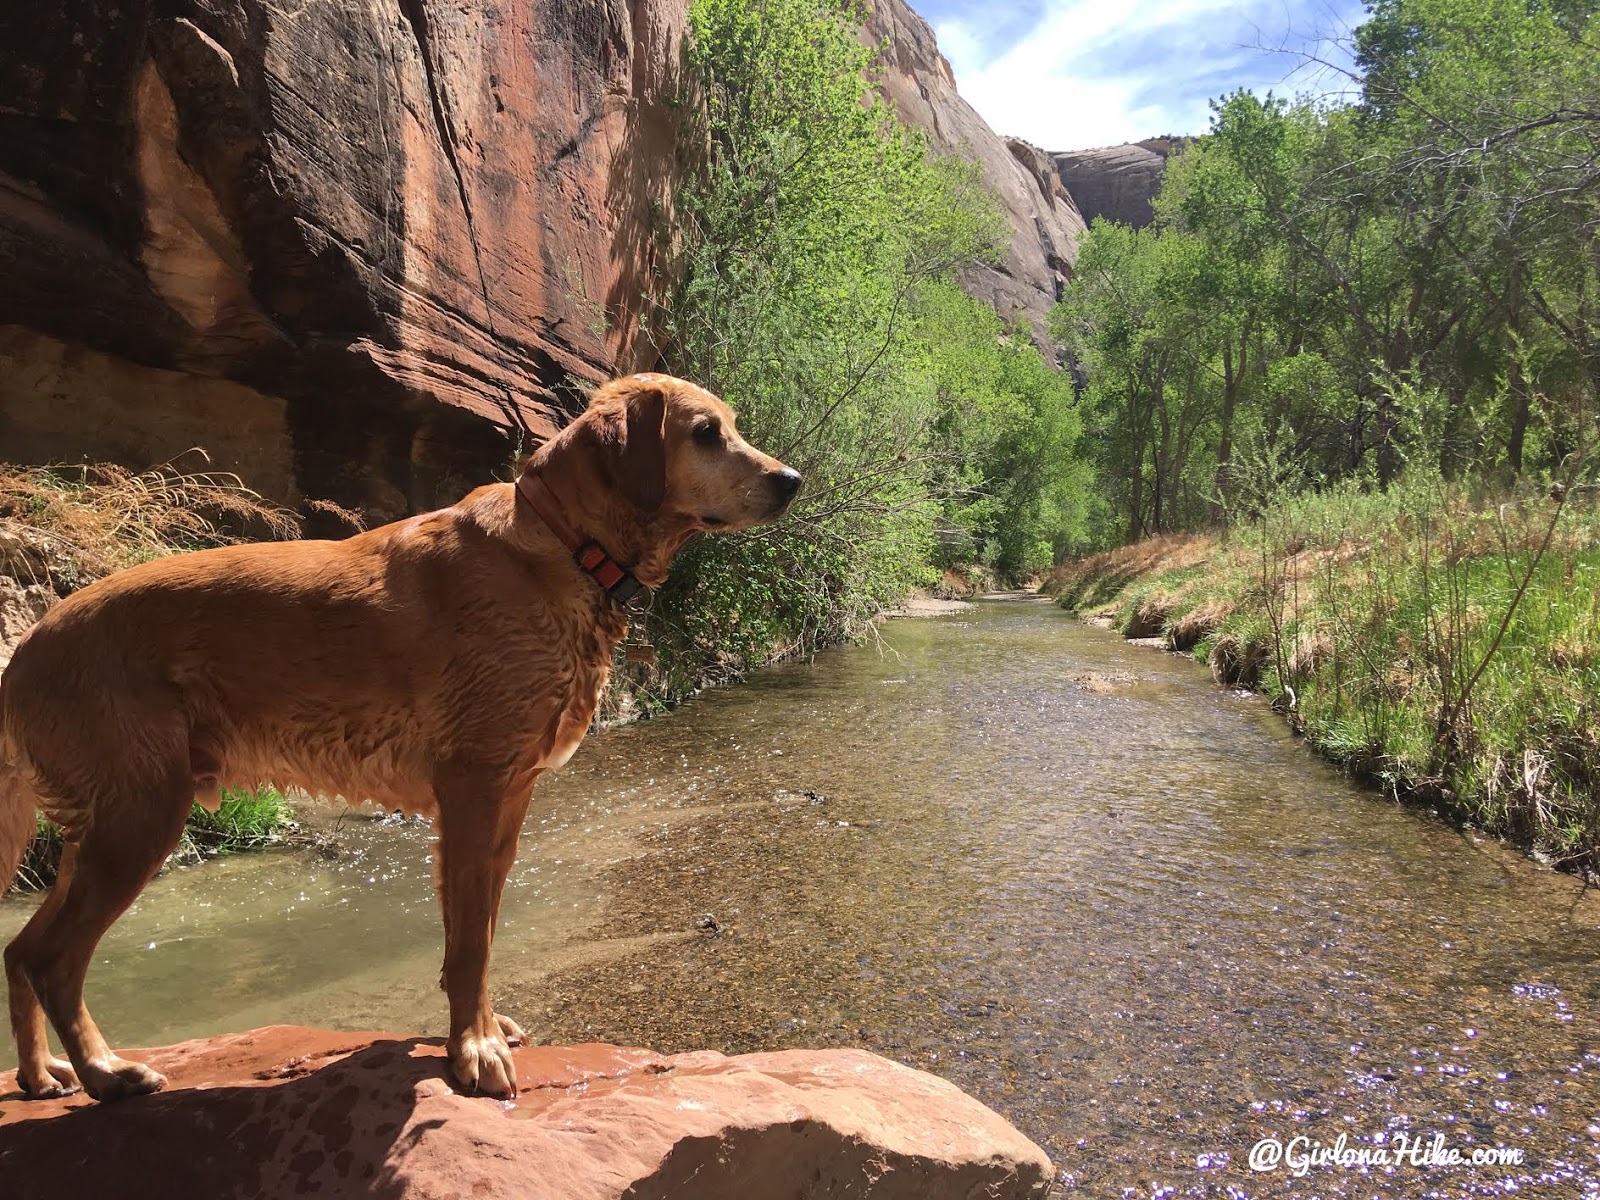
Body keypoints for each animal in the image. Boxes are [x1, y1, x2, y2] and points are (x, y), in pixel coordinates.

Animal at [0, 371, 800, 1107]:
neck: (566, 548)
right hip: (140, 817)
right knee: (54, 960)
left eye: (731, 425)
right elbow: (471, 942)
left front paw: (476, 1032)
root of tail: (24, 648)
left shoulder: (507, 802)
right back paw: (106, 1073)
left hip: (100, 829)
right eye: (705, 433)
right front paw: (474, 1052)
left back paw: (43, 1075)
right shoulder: (473, 789)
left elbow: (473, 938)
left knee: (20, 948)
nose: (793, 481)